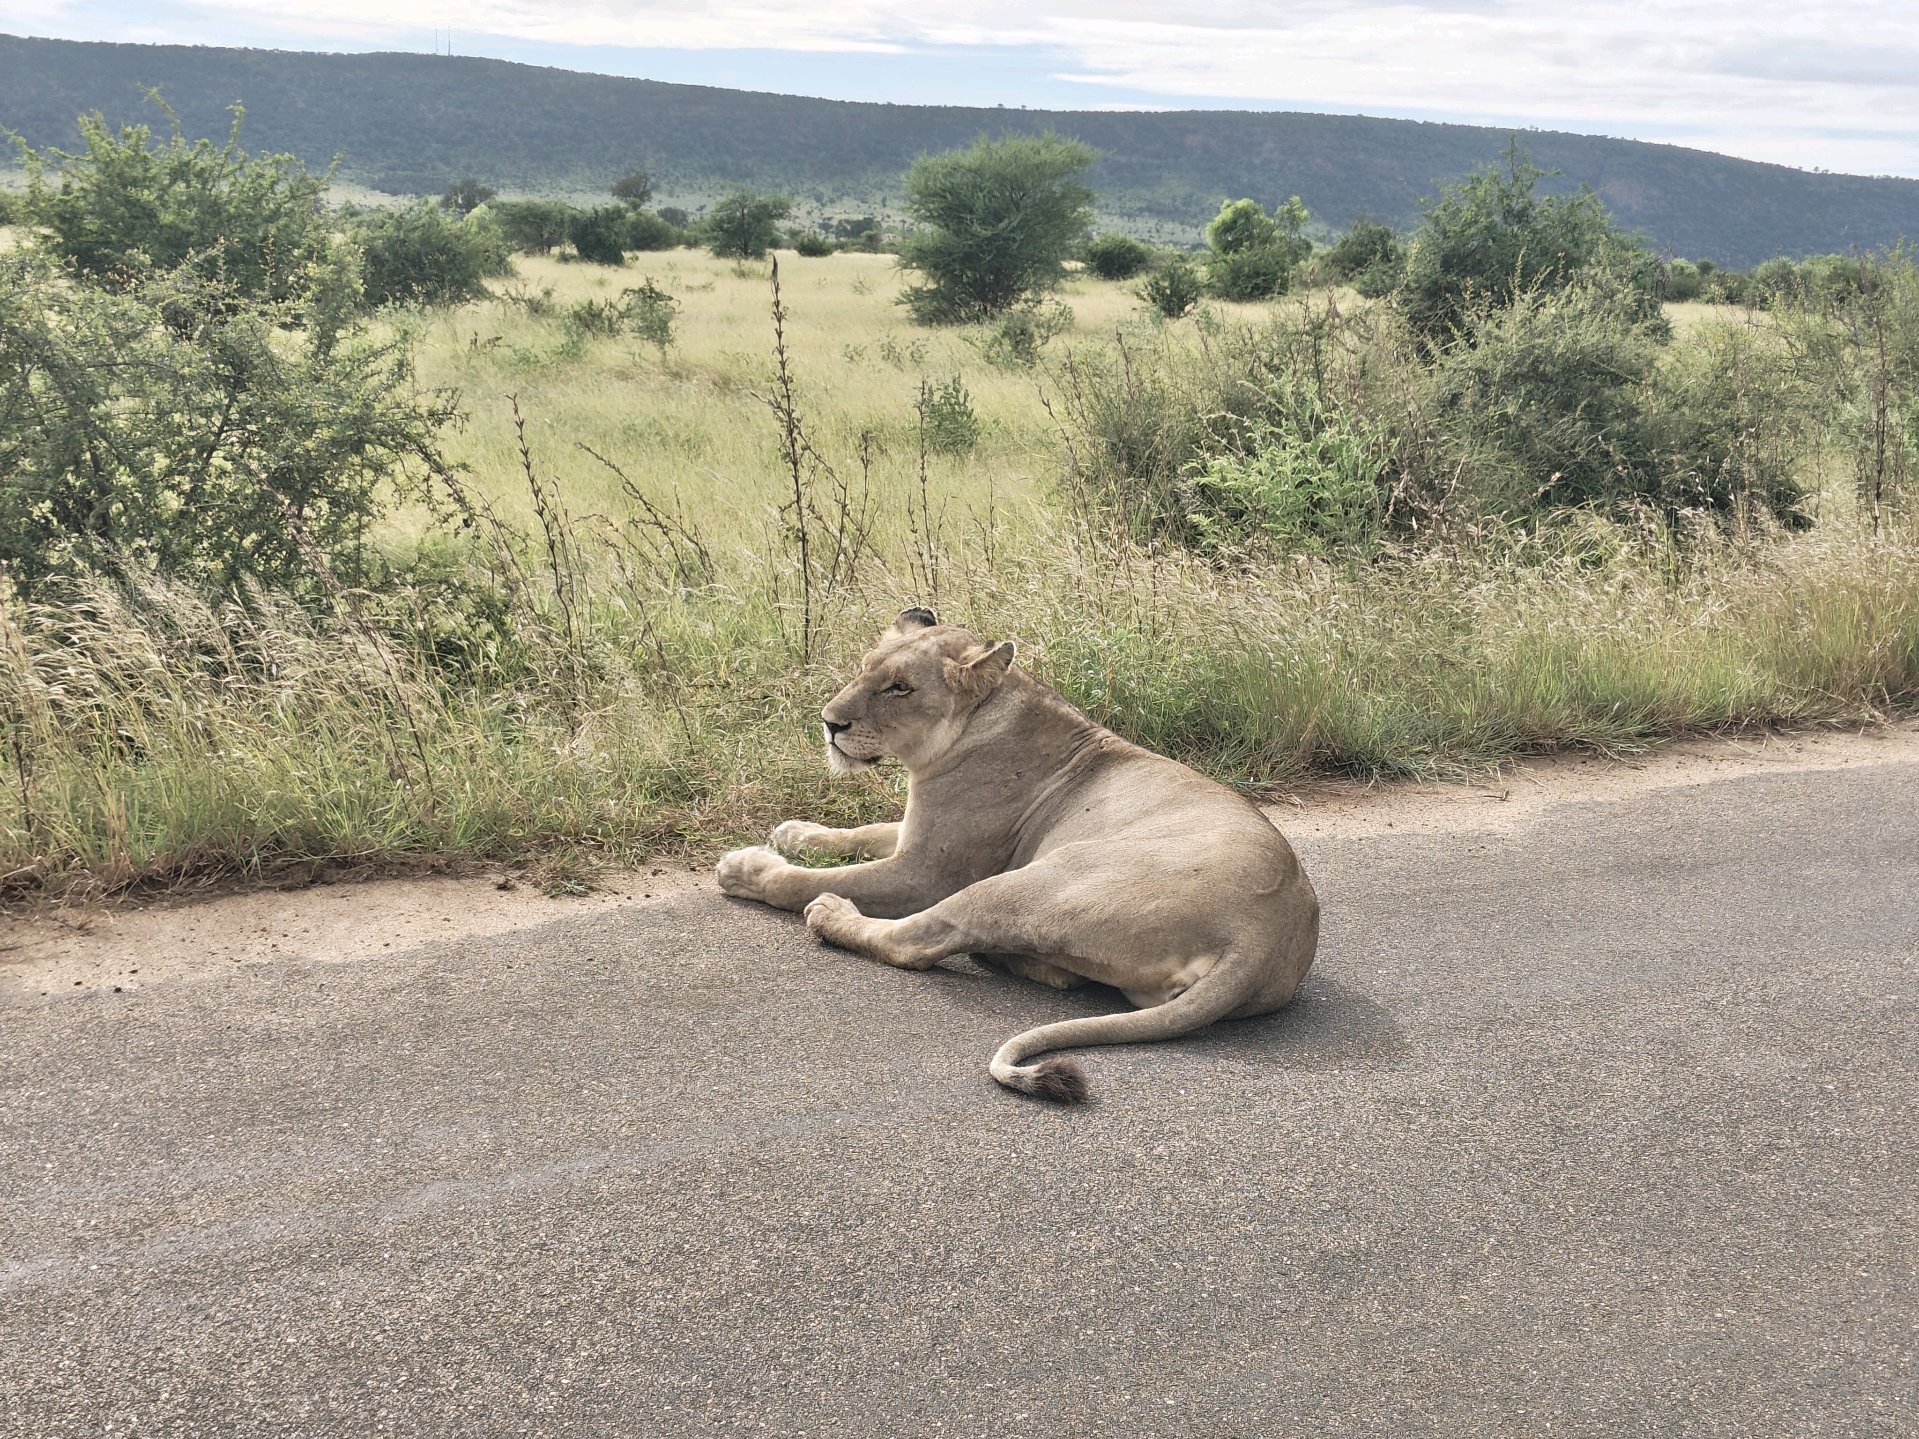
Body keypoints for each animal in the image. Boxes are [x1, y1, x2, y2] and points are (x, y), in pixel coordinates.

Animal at [715, 608, 1320, 1102]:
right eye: (865, 668)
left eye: (900, 688)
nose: (829, 722)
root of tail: (1263, 936)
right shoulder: (915, 835)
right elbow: (859, 831)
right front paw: (793, 831)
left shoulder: (927, 872)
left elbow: (805, 881)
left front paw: (749, 867)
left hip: (1032, 881)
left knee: (917, 941)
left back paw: (833, 914)